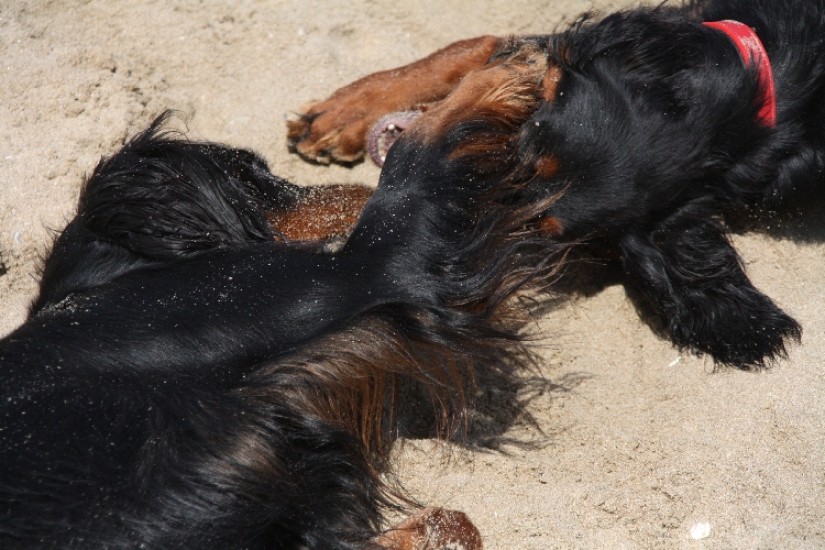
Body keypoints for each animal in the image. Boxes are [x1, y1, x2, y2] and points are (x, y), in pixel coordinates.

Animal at [0, 42, 562, 548]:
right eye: (254, 176)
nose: (360, 190)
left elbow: (453, 523)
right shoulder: (360, 266)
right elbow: (414, 156)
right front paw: (503, 74)